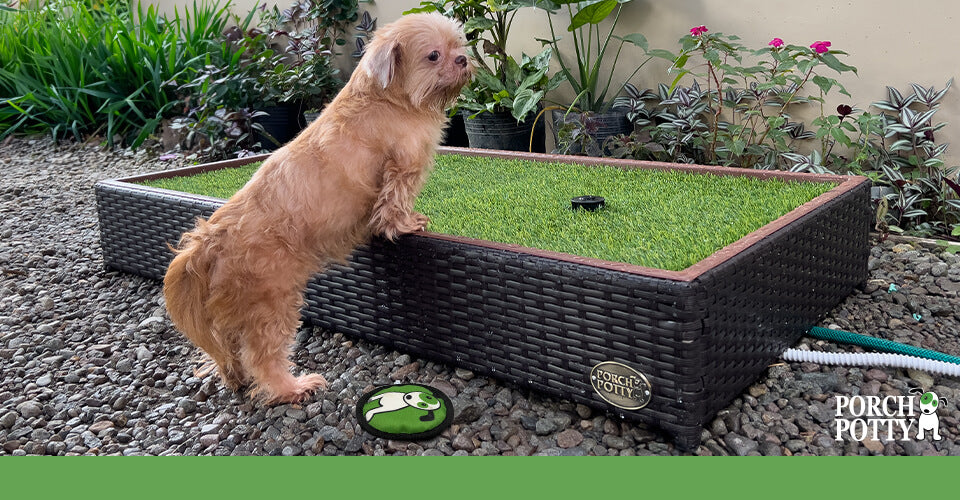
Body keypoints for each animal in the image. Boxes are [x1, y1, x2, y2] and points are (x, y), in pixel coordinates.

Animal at [164, 13, 472, 404]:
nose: (463, 59)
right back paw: (292, 387)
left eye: (458, 44)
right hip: (272, 302)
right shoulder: (401, 167)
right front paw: (405, 224)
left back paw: (234, 377)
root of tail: (209, 239)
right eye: (434, 56)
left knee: (228, 352)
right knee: (262, 357)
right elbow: (393, 205)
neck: (388, 98)